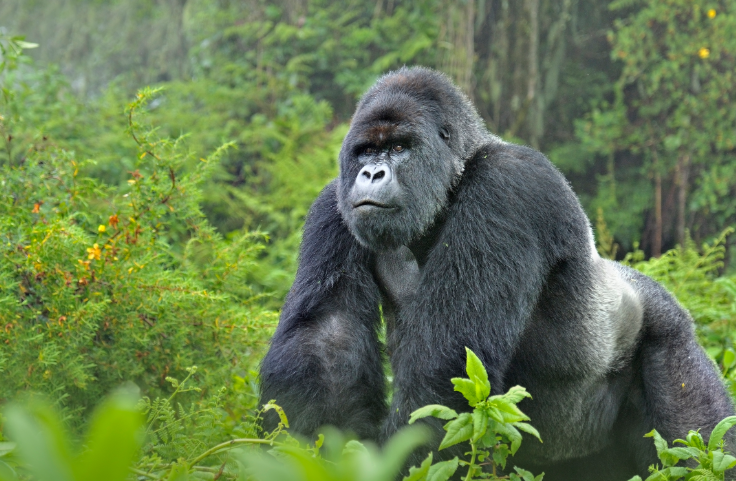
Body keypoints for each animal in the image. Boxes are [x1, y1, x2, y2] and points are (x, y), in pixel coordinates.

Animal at [258, 65, 732, 478]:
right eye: (366, 151)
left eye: (399, 148)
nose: (372, 173)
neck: (456, 176)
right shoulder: (333, 204)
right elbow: (326, 339)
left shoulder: (506, 188)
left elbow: (446, 370)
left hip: (668, 334)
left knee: (698, 440)